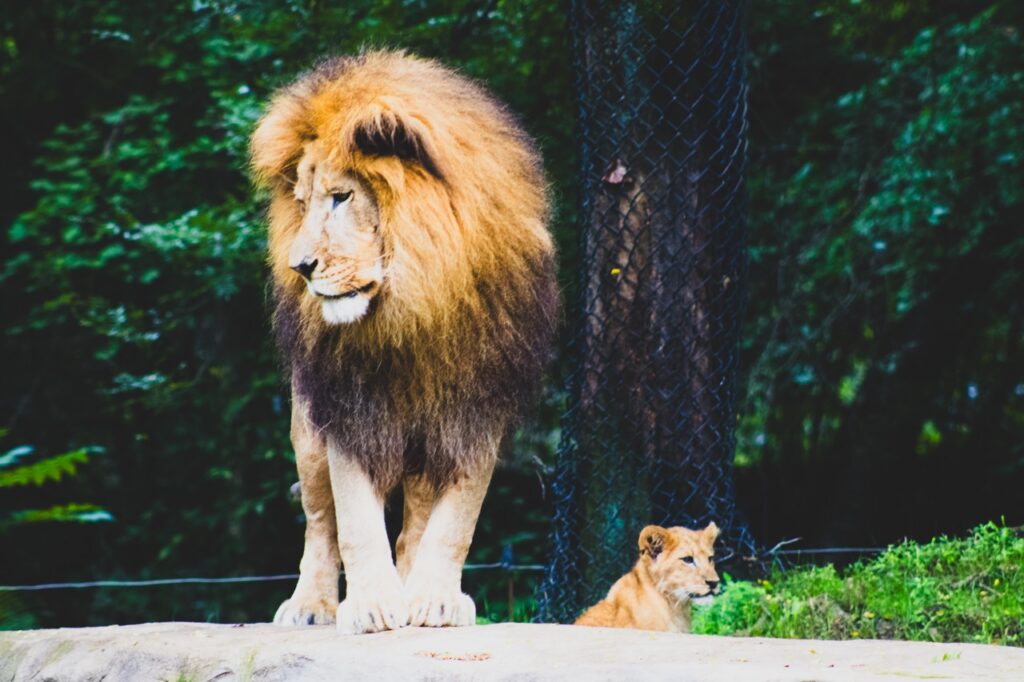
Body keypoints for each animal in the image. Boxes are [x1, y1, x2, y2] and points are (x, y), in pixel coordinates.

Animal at [249, 50, 558, 634]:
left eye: (341, 197)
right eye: (301, 204)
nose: (299, 266)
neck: (411, 306)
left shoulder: (477, 412)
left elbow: (456, 520)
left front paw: (435, 600)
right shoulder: (348, 408)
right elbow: (353, 521)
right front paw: (371, 605)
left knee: (416, 518)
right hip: (307, 429)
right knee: (319, 521)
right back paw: (310, 606)